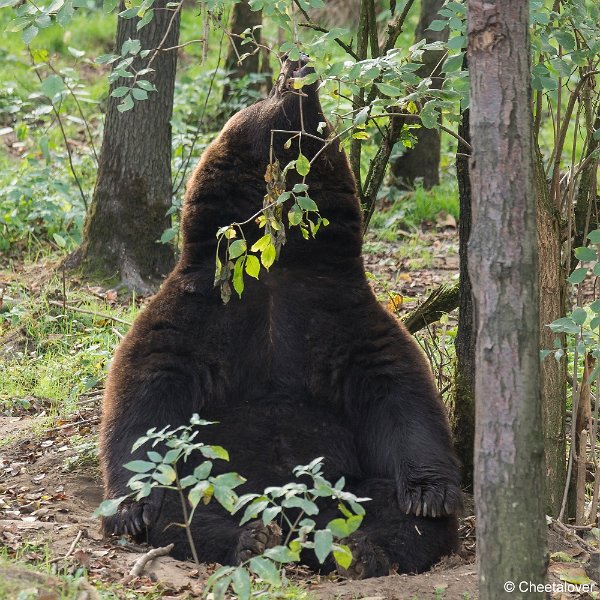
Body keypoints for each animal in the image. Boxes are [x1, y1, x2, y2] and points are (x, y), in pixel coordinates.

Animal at [101, 56, 462, 576]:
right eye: (267, 90)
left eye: (324, 115)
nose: (300, 63)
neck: (274, 265)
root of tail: (291, 516)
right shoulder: (199, 312)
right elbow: (146, 393)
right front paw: (130, 508)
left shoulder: (337, 312)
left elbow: (399, 392)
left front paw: (430, 494)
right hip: (217, 479)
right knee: (181, 506)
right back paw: (250, 538)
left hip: (343, 486)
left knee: (390, 509)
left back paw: (358, 549)